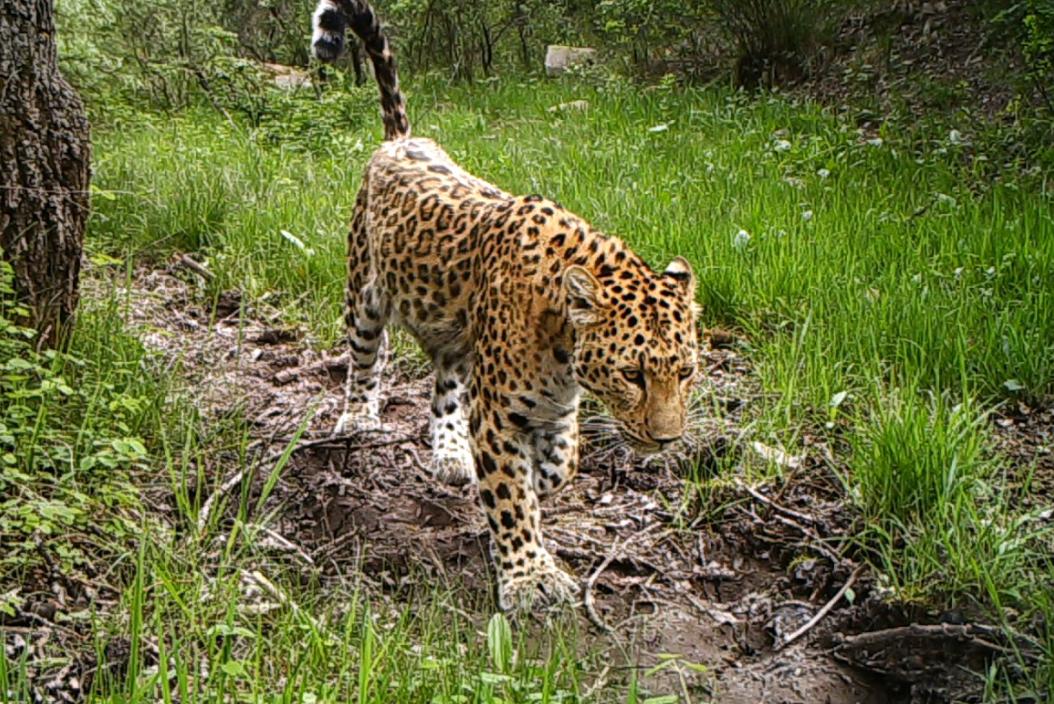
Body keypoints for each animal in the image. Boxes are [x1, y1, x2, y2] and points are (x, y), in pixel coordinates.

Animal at [311, 0, 701, 612]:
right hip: (363, 294)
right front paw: (529, 576)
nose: (668, 441)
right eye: (633, 375)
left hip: (456, 333)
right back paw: (359, 417)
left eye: (684, 372)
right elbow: (511, 501)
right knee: (366, 359)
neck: (562, 342)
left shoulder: (554, 404)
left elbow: (562, 462)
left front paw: (541, 478)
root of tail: (401, 140)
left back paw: (452, 454)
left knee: (446, 385)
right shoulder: (498, 413)